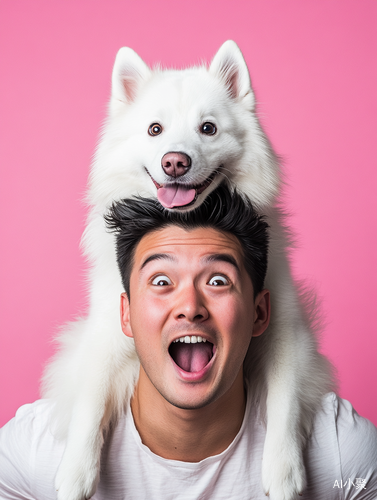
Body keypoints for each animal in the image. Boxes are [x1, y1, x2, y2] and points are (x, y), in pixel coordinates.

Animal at [42, 41, 332, 498]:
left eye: (208, 129)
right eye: (154, 130)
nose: (175, 162)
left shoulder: (286, 332)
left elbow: (284, 400)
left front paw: (283, 471)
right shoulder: (108, 331)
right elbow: (90, 399)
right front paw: (75, 473)